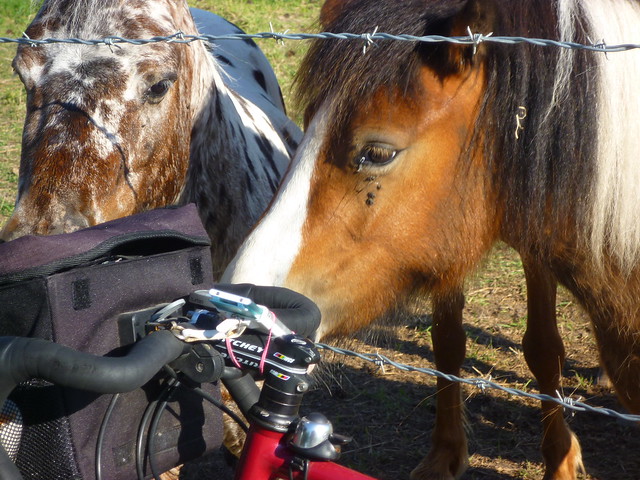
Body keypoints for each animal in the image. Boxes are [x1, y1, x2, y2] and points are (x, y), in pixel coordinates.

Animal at [226, 0, 640, 480]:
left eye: (378, 153)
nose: (241, 303)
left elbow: (541, 346)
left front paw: (560, 461)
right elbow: (448, 338)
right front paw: (445, 455)